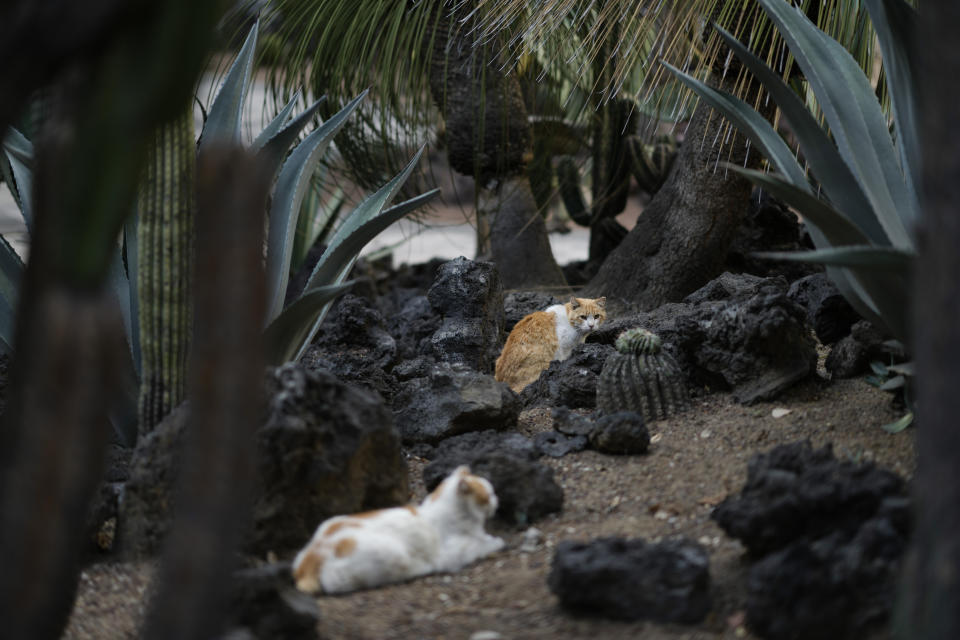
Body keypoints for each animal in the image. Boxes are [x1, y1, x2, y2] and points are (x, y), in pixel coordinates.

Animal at [292, 464, 506, 596]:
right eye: (489, 495)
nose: (497, 500)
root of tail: (315, 551)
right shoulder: (453, 554)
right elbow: (481, 545)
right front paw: (495, 543)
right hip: (393, 556)